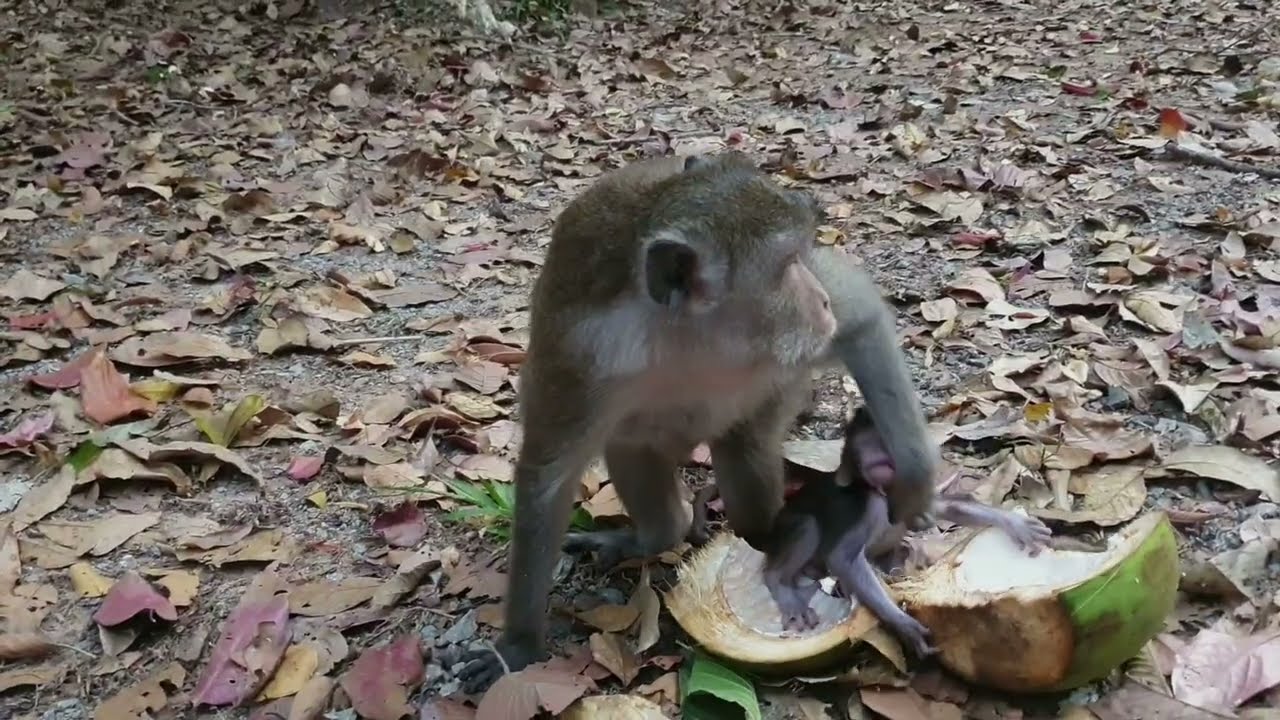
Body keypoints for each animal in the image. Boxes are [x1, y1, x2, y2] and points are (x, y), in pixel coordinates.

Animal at [457, 152, 938, 693]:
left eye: (801, 255)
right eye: (785, 265)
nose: (819, 301)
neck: (683, 336)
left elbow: (861, 317)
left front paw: (915, 479)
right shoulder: (579, 362)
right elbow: (548, 479)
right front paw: (517, 645)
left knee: (744, 456)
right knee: (634, 447)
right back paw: (657, 535)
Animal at [757, 406, 1053, 658]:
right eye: (872, 457)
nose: (885, 467)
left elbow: (951, 507)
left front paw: (1014, 523)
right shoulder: (866, 506)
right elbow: (843, 558)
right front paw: (903, 624)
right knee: (807, 527)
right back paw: (781, 583)